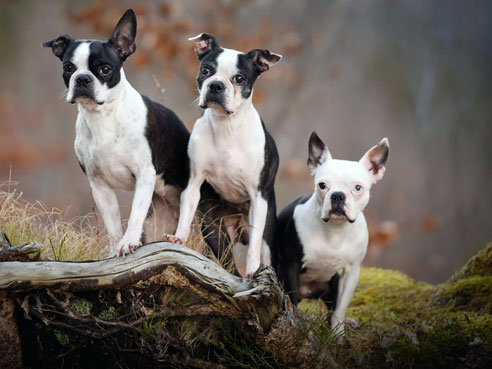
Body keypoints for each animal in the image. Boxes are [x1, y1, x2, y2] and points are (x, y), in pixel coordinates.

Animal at [42, 8, 190, 256]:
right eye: (68, 68)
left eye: (105, 69)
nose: (82, 79)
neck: (103, 117)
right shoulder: (99, 184)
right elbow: (112, 223)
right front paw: (114, 251)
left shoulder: (144, 175)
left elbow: (135, 215)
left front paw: (128, 243)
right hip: (160, 213)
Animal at [164, 33, 280, 278]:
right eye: (206, 70)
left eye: (239, 78)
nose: (216, 85)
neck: (226, 126)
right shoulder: (193, 183)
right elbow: (185, 213)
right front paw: (178, 238)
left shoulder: (258, 197)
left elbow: (254, 248)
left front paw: (253, 270)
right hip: (214, 229)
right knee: (228, 264)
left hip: (266, 235)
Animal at [276, 132, 388, 336]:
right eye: (322, 185)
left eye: (358, 188)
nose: (338, 195)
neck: (336, 229)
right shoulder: (290, 266)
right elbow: (291, 300)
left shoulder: (351, 272)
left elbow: (340, 308)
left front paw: (338, 335)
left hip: (332, 283)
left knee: (332, 306)